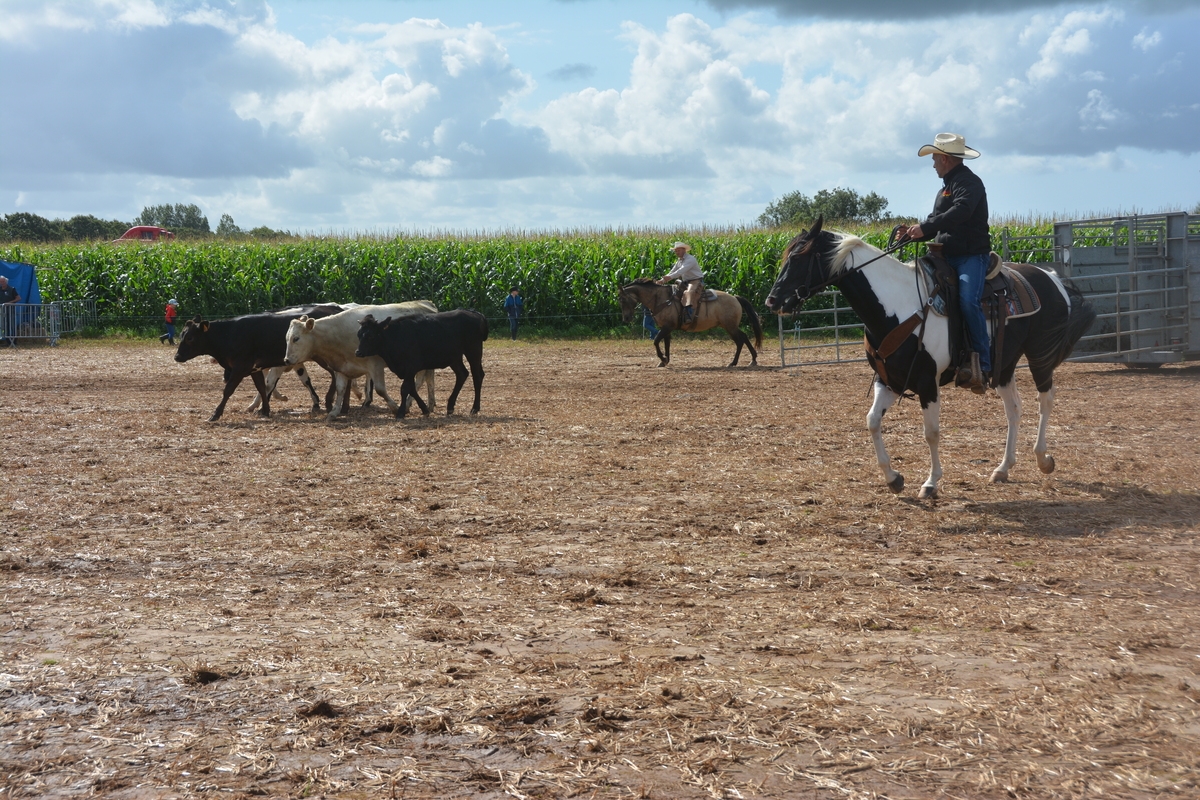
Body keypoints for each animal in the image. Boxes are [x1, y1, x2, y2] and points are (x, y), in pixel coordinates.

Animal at [624, 278, 763, 369]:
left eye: (622, 299)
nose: (626, 318)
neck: (662, 299)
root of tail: (735, 298)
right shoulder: (666, 328)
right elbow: (666, 344)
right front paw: (664, 361)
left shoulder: (667, 327)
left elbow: (656, 341)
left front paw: (663, 359)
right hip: (729, 326)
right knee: (744, 337)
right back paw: (752, 359)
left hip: (730, 326)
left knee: (740, 340)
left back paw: (734, 362)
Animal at [768, 215, 1099, 496]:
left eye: (798, 257)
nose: (773, 301)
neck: (897, 306)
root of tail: (1052, 277)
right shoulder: (888, 380)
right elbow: (872, 421)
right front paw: (893, 478)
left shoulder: (928, 383)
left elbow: (932, 432)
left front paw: (931, 483)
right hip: (1004, 364)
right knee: (1014, 409)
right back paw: (1003, 469)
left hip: (1039, 355)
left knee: (1046, 399)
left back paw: (1043, 458)